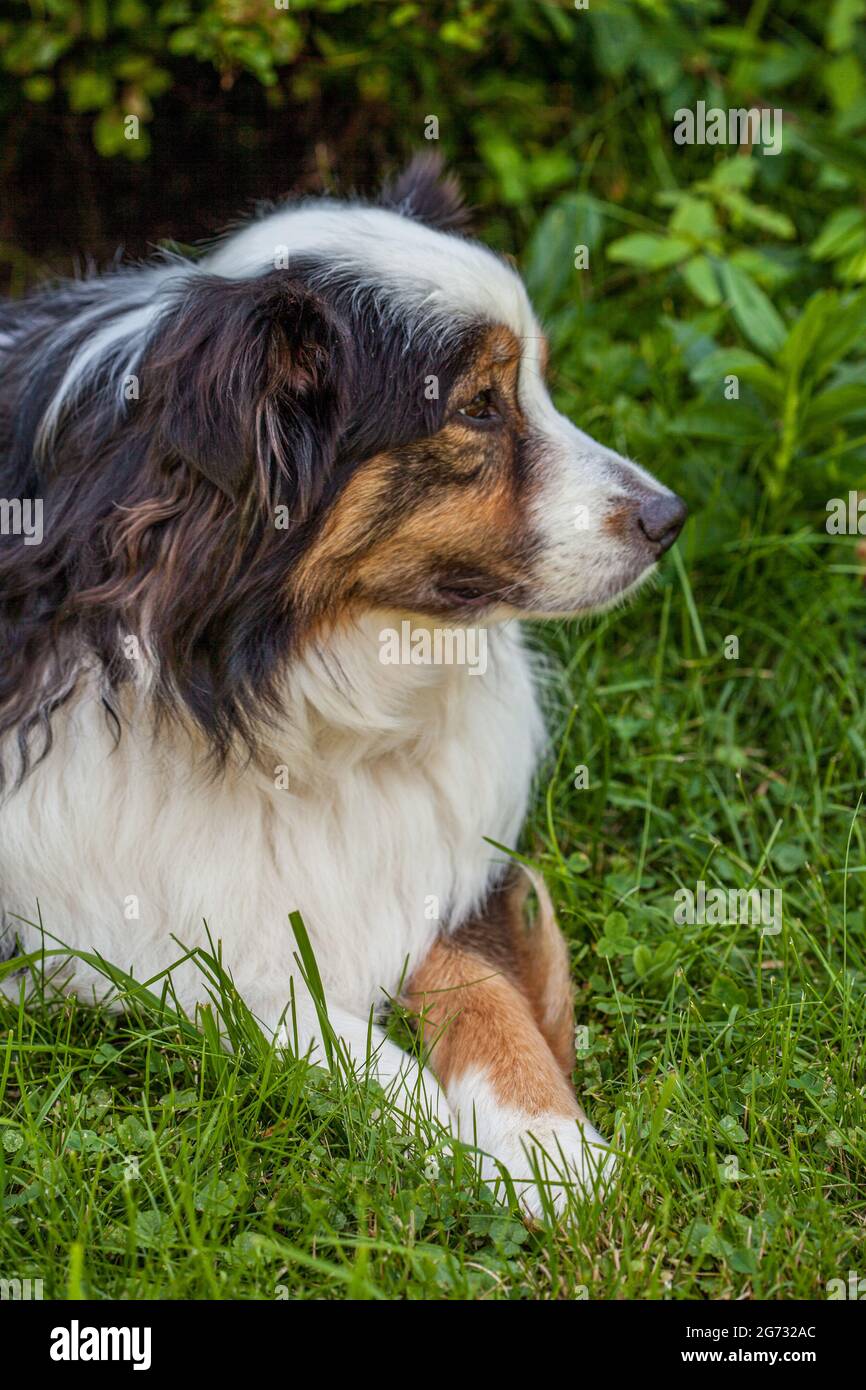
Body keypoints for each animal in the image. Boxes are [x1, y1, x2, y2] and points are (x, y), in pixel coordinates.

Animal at [1, 154, 692, 1217]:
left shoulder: (448, 850)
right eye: (477, 407)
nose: (670, 518)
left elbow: (489, 989)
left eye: (537, 385)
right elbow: (291, 1009)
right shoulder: (115, 922)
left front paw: (552, 1146)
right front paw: (454, 1132)